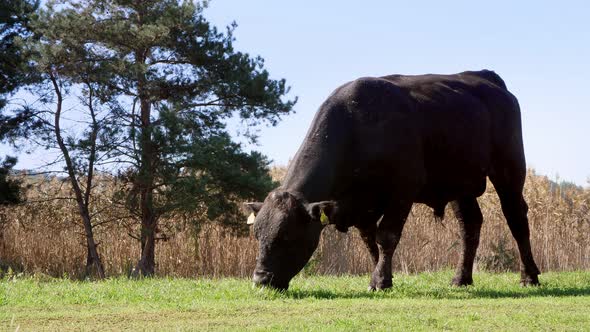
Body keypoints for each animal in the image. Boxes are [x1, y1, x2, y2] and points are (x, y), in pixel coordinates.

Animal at [244, 70, 540, 290]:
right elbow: (370, 240)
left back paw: (529, 276)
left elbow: (386, 236)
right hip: (460, 183)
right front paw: (383, 275)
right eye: (257, 234)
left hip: (509, 170)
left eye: (287, 236)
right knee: (470, 226)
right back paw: (461, 278)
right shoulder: (361, 204)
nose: (260, 280)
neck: (358, 126)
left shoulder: (402, 191)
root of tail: (485, 77)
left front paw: (379, 280)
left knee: (516, 219)